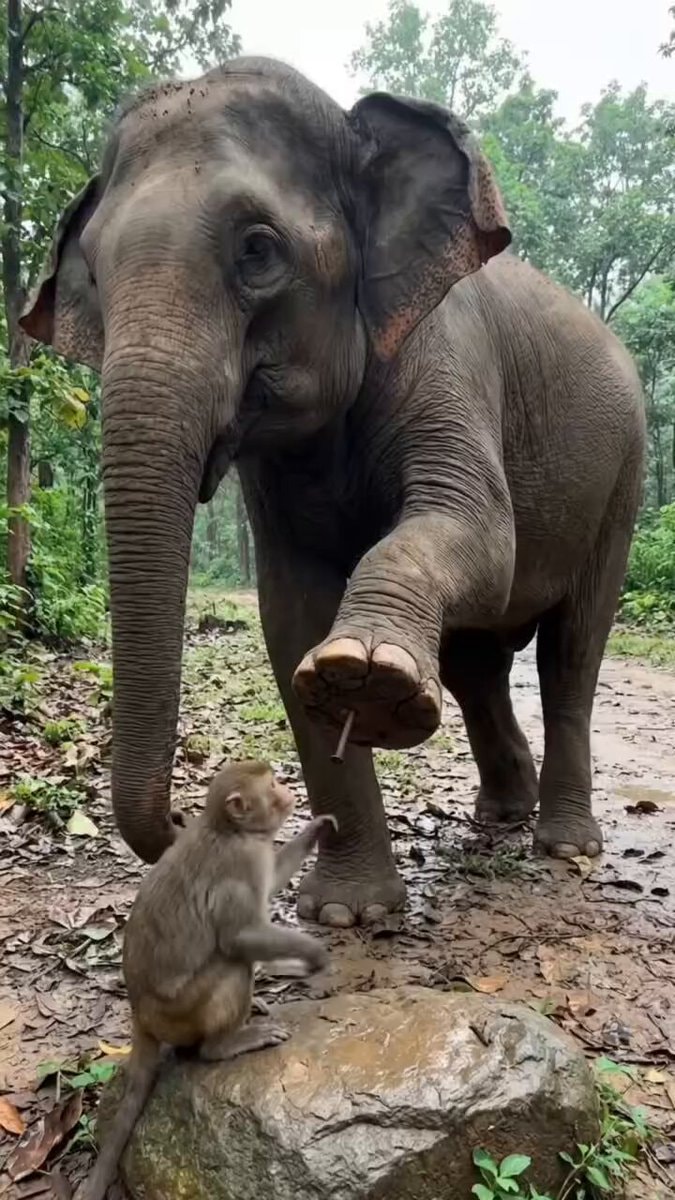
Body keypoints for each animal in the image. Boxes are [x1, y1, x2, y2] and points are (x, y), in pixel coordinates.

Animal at [21, 56, 646, 928]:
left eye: (257, 250)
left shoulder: (447, 357)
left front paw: (368, 679)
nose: (187, 816)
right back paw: (500, 813)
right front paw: (347, 913)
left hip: (624, 475)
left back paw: (562, 845)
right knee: (477, 665)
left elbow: (480, 531)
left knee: (571, 651)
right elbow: (289, 616)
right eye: (95, 277)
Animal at [76, 761, 336, 1200]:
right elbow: (238, 936)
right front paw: (313, 955)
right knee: (232, 965)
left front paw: (316, 829)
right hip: (179, 1012)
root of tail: (139, 1014)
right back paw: (224, 1044)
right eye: (271, 785)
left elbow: (272, 883)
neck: (227, 829)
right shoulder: (241, 862)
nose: (287, 790)